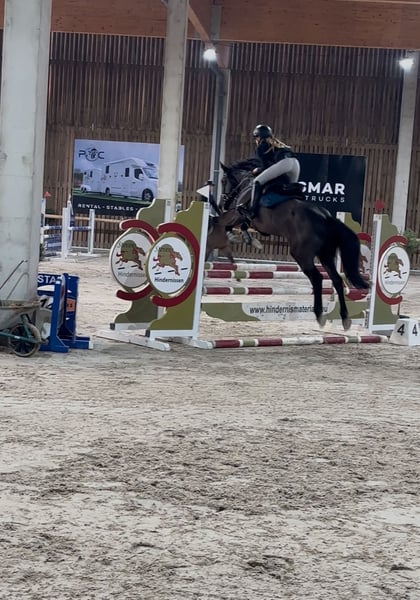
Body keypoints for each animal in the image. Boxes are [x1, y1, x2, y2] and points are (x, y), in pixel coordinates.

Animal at [205, 158, 370, 330]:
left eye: (223, 181)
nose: (223, 203)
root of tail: (326, 217)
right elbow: (238, 226)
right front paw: (249, 240)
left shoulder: (238, 214)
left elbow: (228, 223)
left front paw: (237, 237)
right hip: (325, 255)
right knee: (337, 280)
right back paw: (344, 318)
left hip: (301, 254)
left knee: (317, 278)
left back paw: (319, 314)